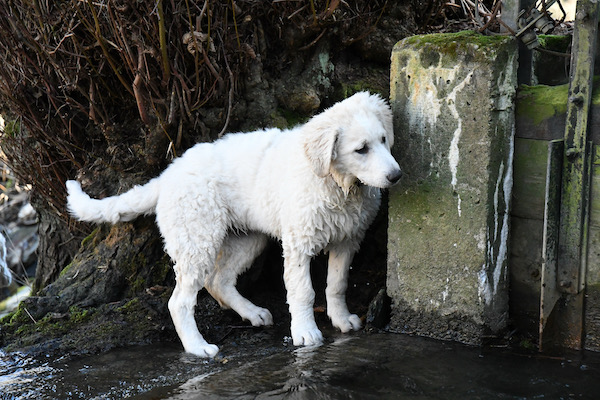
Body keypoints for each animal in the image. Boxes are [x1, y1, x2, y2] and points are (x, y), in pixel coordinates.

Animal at [65, 90, 400, 356]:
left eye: (384, 140)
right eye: (361, 149)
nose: (396, 176)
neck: (339, 184)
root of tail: (167, 175)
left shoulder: (348, 238)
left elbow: (337, 283)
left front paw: (341, 320)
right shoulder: (299, 243)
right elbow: (302, 290)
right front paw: (306, 333)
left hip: (248, 237)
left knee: (219, 281)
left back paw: (252, 313)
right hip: (197, 238)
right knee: (181, 301)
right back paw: (198, 347)